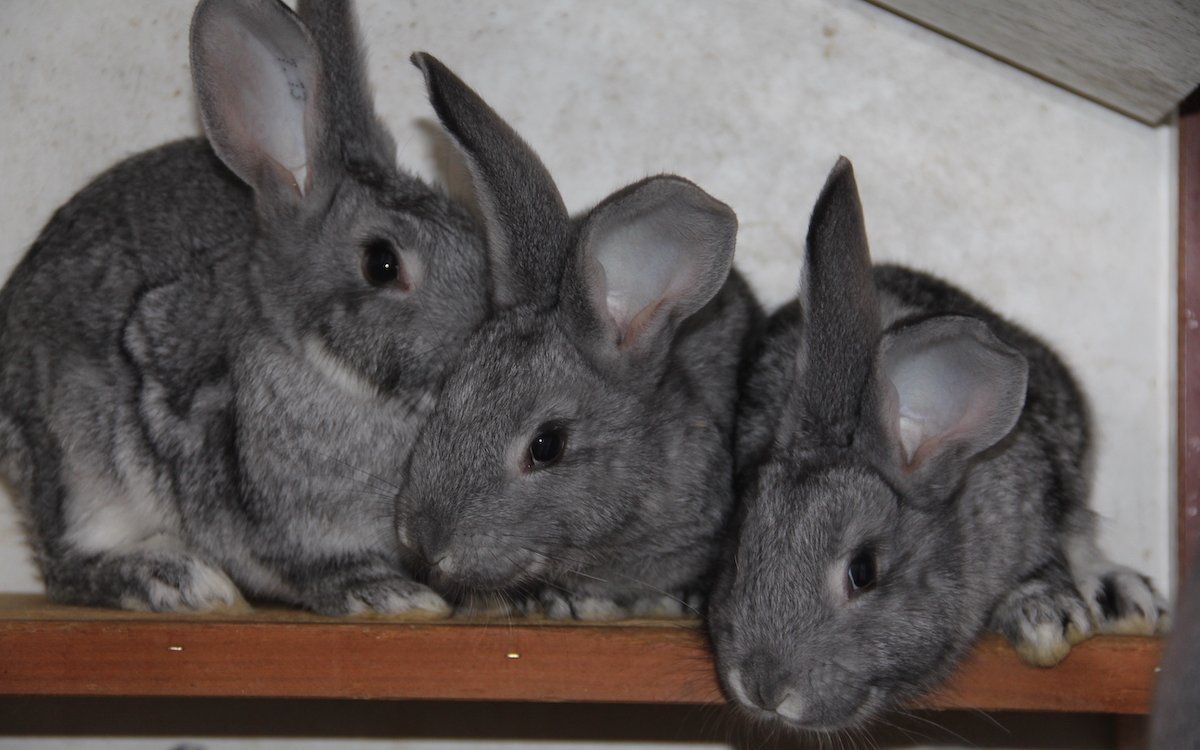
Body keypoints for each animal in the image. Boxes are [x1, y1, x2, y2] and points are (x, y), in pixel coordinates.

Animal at [0, 0, 489, 615]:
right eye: (382, 263)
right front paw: (392, 596)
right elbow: (316, 569)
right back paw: (176, 580)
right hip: (76, 467)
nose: (482, 335)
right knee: (66, 567)